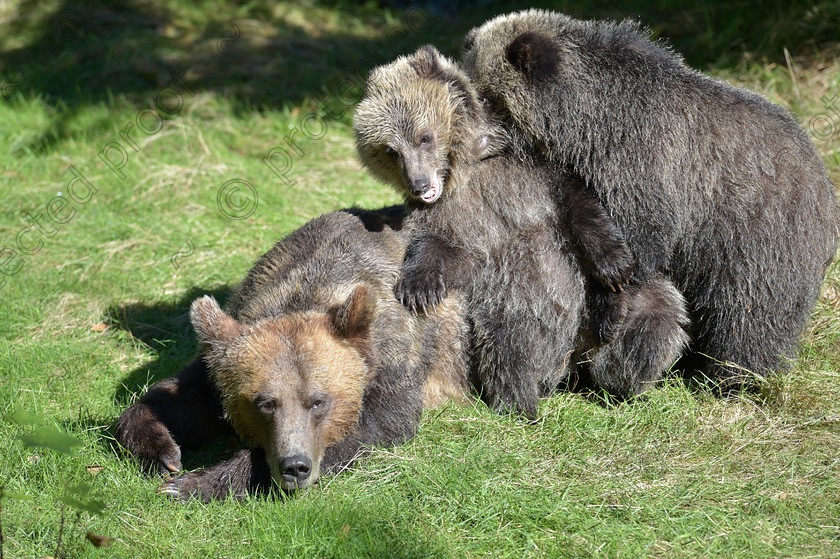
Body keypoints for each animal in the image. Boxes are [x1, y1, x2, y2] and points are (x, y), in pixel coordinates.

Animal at [116, 207, 472, 504]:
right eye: (264, 403)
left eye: (318, 401)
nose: (295, 466)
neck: (307, 288)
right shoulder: (222, 352)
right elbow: (179, 396)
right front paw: (162, 452)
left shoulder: (395, 354)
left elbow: (377, 425)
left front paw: (195, 483)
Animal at [354, 46, 688, 414]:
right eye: (390, 150)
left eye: (423, 137)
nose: (419, 184)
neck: (473, 165)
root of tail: (571, 361)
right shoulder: (455, 216)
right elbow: (445, 248)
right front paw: (419, 287)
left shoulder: (532, 175)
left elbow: (580, 208)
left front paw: (613, 266)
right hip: (509, 305)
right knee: (508, 346)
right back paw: (522, 403)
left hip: (621, 309)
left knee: (655, 320)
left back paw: (622, 381)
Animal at [462, 12, 836, 390]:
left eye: (488, 98)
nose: (471, 142)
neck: (584, 125)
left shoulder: (641, 160)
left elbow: (642, 239)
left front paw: (610, 305)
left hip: (758, 237)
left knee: (748, 314)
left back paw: (734, 376)